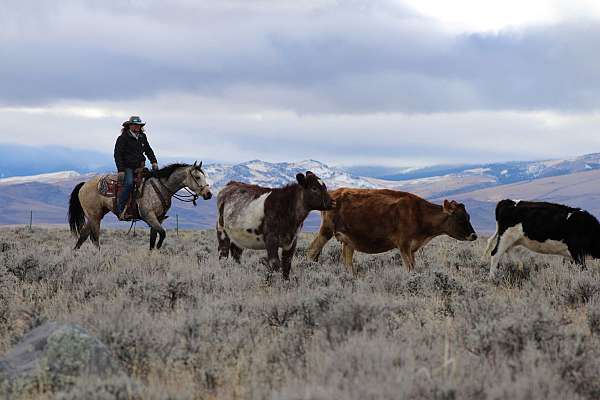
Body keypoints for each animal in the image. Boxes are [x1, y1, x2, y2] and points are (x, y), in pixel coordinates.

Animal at [68, 162, 212, 250]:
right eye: (197, 177)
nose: (208, 194)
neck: (160, 187)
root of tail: (84, 184)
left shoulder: (158, 219)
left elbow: (153, 239)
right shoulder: (149, 216)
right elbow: (162, 234)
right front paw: (158, 248)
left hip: (95, 216)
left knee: (83, 235)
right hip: (95, 217)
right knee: (95, 238)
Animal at [308, 188, 476, 276]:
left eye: (468, 216)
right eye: (460, 218)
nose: (474, 235)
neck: (419, 213)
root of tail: (333, 193)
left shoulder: (412, 248)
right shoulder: (404, 245)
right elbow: (409, 267)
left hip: (348, 241)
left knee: (347, 262)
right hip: (326, 231)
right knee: (312, 250)